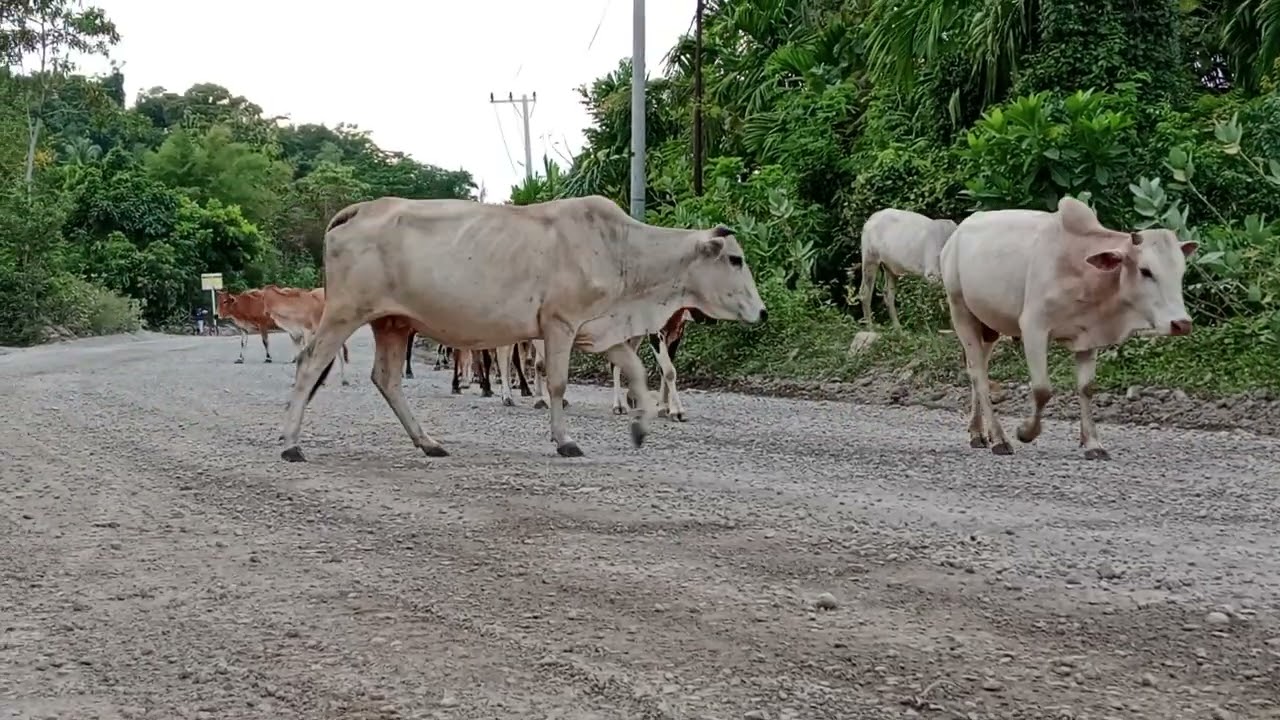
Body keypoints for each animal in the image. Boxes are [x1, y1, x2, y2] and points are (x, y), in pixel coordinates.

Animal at [278, 194, 766, 462]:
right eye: (735, 259)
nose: (762, 312)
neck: (621, 250)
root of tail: (360, 209)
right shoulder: (559, 324)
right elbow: (557, 384)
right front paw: (565, 439)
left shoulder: (602, 330)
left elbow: (638, 373)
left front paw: (642, 426)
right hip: (346, 312)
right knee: (309, 365)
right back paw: (290, 443)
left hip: (393, 323)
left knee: (386, 378)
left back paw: (427, 441)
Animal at [940, 195, 1196, 460]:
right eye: (1146, 271)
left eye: (1180, 272)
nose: (1181, 323)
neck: (1084, 271)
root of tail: (957, 234)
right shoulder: (1034, 328)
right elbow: (1042, 390)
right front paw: (1025, 432)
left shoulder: (1089, 337)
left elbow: (1086, 388)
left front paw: (1092, 442)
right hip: (961, 312)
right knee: (979, 375)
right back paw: (999, 438)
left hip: (989, 327)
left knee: (976, 370)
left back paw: (978, 433)